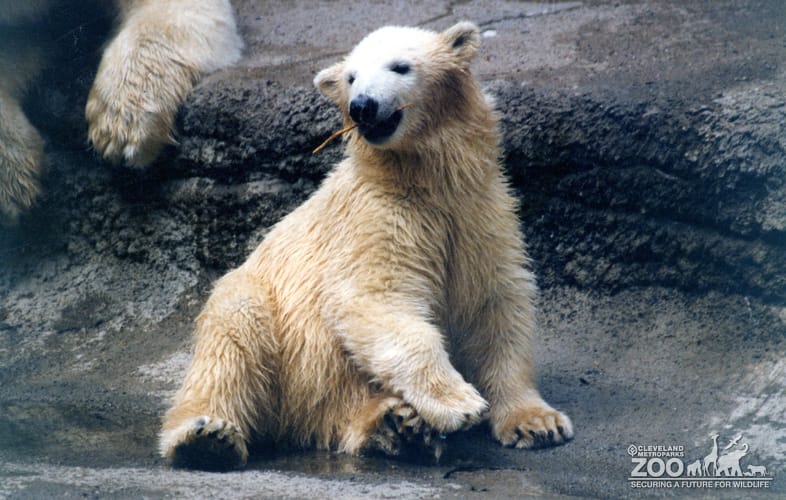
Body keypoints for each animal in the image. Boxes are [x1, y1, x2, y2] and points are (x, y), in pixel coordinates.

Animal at [159, 21, 573, 470]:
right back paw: (205, 437)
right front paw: (460, 403)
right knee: (231, 341)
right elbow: (375, 297)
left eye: (400, 66)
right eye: (351, 78)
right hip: (276, 325)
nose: (362, 106)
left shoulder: (482, 213)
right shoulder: (376, 216)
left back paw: (397, 426)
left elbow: (496, 305)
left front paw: (538, 422)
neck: (426, 181)